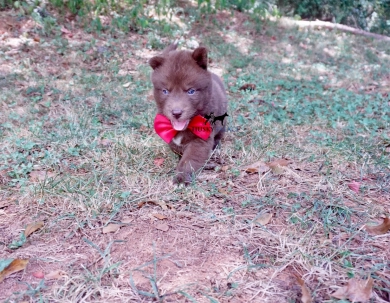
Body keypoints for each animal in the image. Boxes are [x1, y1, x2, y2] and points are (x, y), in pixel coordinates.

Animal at [150, 44, 229, 184]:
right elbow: (176, 147)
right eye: (165, 91)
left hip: (222, 125)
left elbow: (189, 160)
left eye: (191, 91)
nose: (176, 113)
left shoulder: (201, 139)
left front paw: (181, 179)